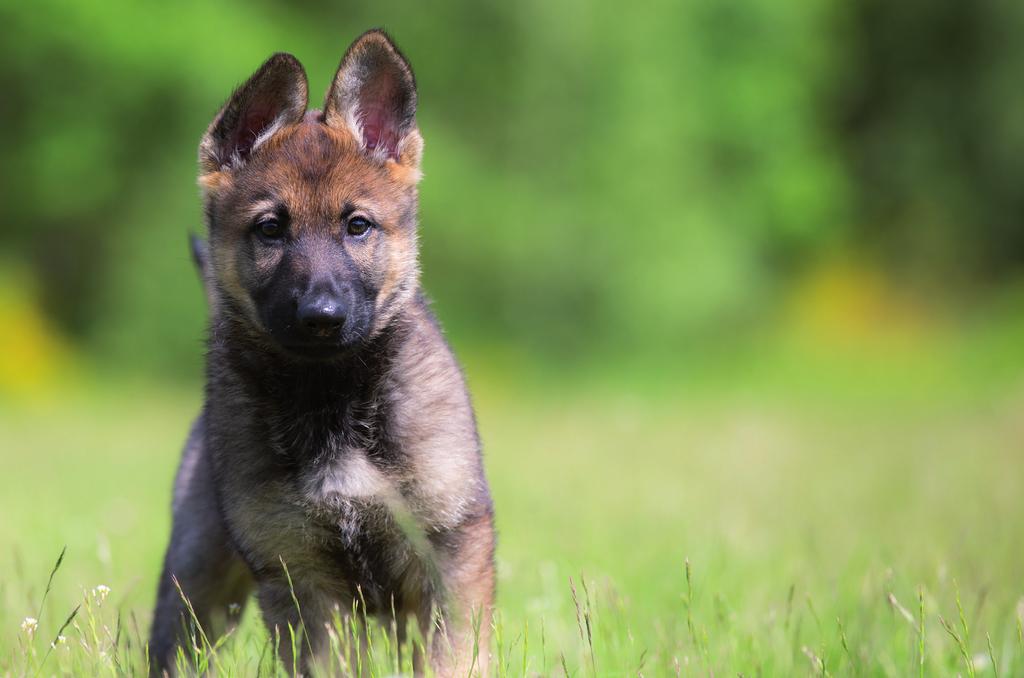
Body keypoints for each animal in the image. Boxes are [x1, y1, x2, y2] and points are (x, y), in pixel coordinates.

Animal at [150, 30, 495, 675]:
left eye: (357, 226)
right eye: (270, 228)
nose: (322, 318)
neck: (331, 396)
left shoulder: (451, 553)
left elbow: (453, 656)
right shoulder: (301, 577)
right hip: (196, 580)